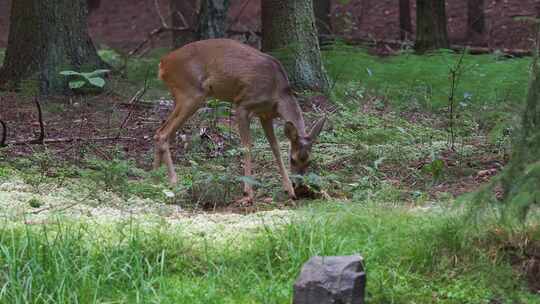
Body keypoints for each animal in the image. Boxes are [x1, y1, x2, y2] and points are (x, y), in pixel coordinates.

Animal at [154, 39, 326, 203]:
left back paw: (155, 179)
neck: (278, 93)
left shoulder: (265, 115)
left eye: (309, 161)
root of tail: (163, 63)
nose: (299, 185)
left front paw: (289, 191)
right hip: (191, 93)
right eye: (293, 159)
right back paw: (174, 182)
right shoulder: (242, 104)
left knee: (159, 132)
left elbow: (275, 148)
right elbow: (247, 146)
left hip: (182, 96)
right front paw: (248, 193)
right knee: (163, 133)